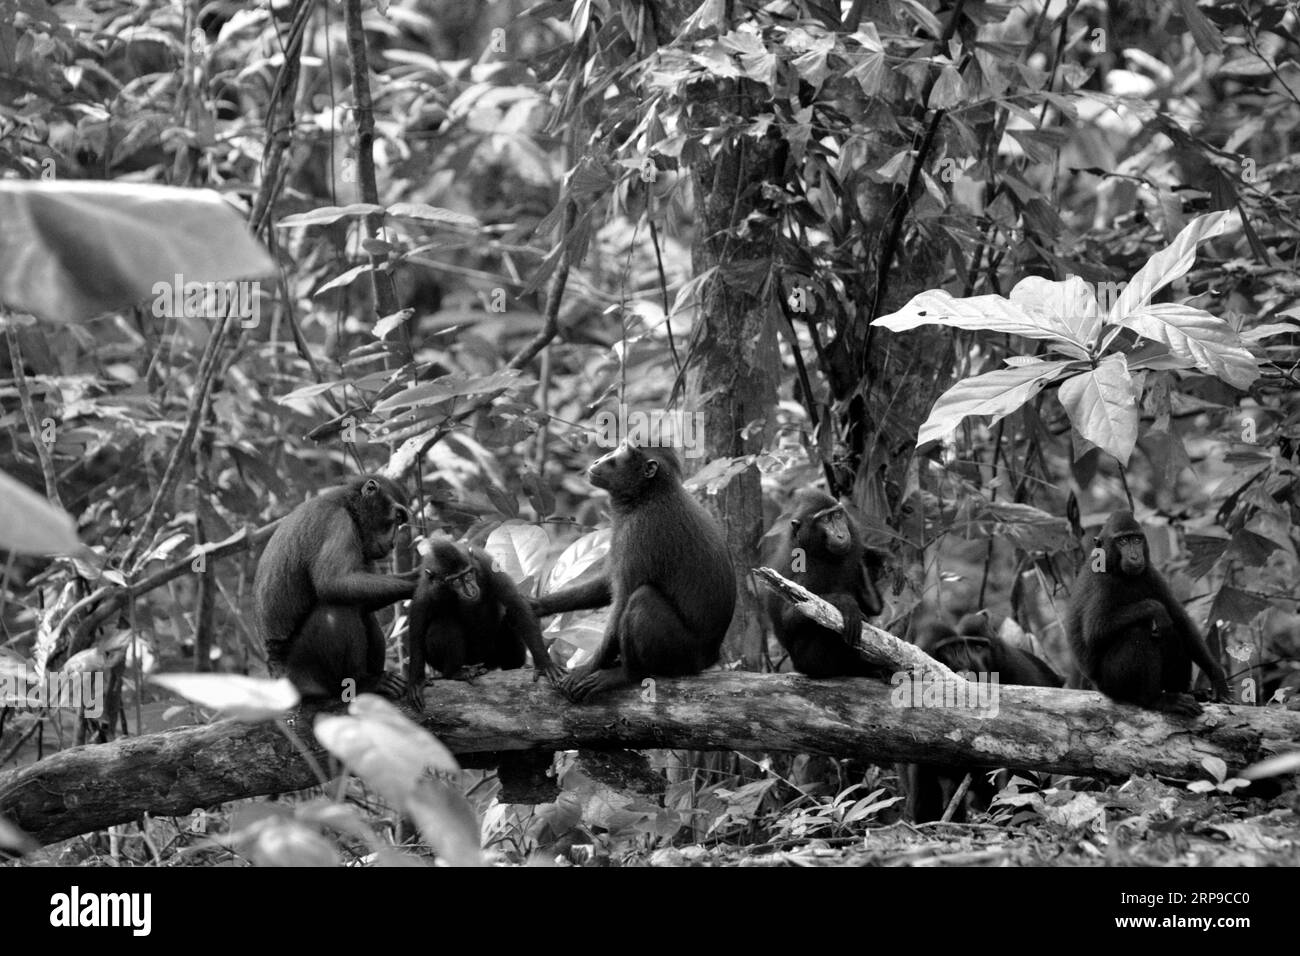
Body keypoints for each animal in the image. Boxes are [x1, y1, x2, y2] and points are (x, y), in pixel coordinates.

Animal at [252, 476, 410, 702]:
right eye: (396, 517)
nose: (394, 542)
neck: (349, 505)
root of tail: (275, 672)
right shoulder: (338, 522)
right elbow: (334, 582)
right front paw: (419, 579)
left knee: (363, 611)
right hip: (300, 674)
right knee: (337, 608)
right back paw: (362, 684)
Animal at [405, 535, 559, 697]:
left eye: (468, 574)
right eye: (455, 581)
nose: (470, 589)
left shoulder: (488, 567)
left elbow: (517, 607)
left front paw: (544, 664)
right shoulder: (424, 592)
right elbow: (417, 632)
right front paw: (416, 680)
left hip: (492, 655)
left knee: (510, 619)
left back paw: (513, 665)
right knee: (444, 622)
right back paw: (455, 672)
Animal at [527, 442, 733, 702]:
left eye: (622, 451)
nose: (600, 459)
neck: (647, 495)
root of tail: (710, 658)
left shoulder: (639, 531)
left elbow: (623, 598)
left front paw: (587, 668)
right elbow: (607, 585)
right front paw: (537, 605)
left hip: (683, 654)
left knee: (641, 598)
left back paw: (626, 673)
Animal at [764, 486, 889, 681]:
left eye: (837, 515)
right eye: (824, 520)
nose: (841, 534)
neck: (821, 555)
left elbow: (874, 609)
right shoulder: (807, 570)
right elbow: (791, 616)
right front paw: (844, 603)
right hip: (810, 661)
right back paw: (860, 668)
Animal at [1066, 512, 1227, 712]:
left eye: (1136, 539)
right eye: (1122, 541)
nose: (1135, 556)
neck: (1121, 574)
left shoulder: (1151, 573)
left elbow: (1181, 621)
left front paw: (1217, 676)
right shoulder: (1101, 582)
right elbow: (1095, 631)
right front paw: (1156, 609)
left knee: (1172, 632)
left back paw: (1186, 692)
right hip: (1111, 683)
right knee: (1137, 631)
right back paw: (1155, 700)